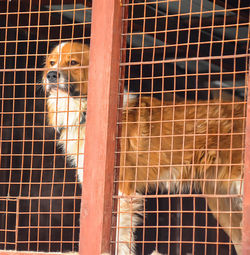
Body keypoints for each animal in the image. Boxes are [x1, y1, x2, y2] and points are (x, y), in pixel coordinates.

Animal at [43, 40, 244, 254]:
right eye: (52, 63)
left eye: (73, 62)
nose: (51, 75)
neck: (85, 111)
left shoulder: (123, 190)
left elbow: (120, 239)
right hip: (221, 202)